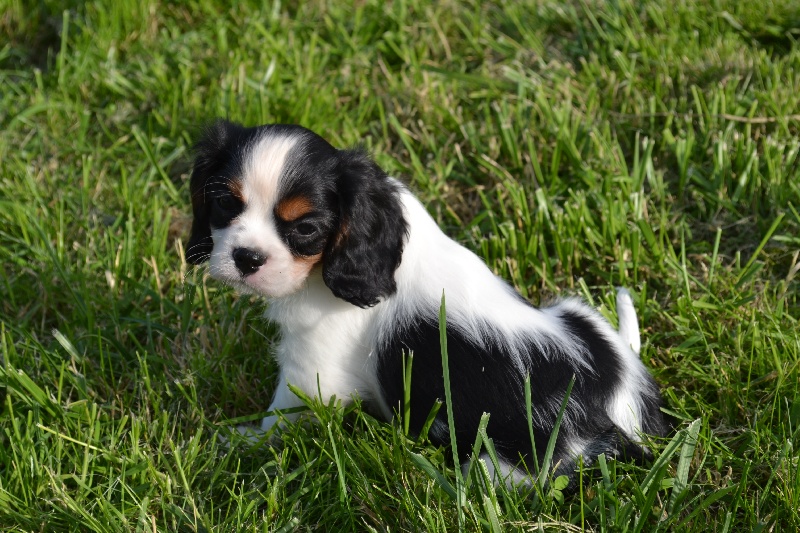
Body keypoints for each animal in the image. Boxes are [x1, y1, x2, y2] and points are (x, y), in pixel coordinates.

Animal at [188, 120, 668, 486]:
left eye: (304, 228)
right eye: (225, 203)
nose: (247, 257)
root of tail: (614, 404)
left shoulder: (312, 366)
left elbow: (282, 414)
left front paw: (243, 441)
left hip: (502, 468)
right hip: (577, 311)